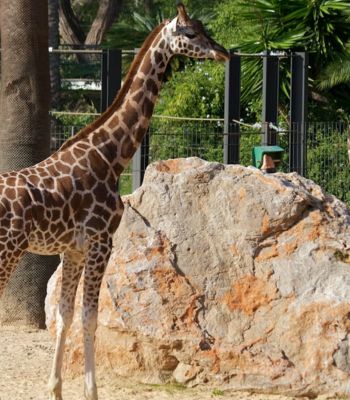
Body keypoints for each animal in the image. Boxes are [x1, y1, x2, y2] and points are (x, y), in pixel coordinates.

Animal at [0, 3, 230, 400]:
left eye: (204, 29)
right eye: (190, 33)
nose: (223, 53)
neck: (110, 157)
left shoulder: (74, 248)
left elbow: (65, 316)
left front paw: (55, 388)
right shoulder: (100, 242)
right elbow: (90, 319)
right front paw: (91, 391)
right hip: (7, 251)